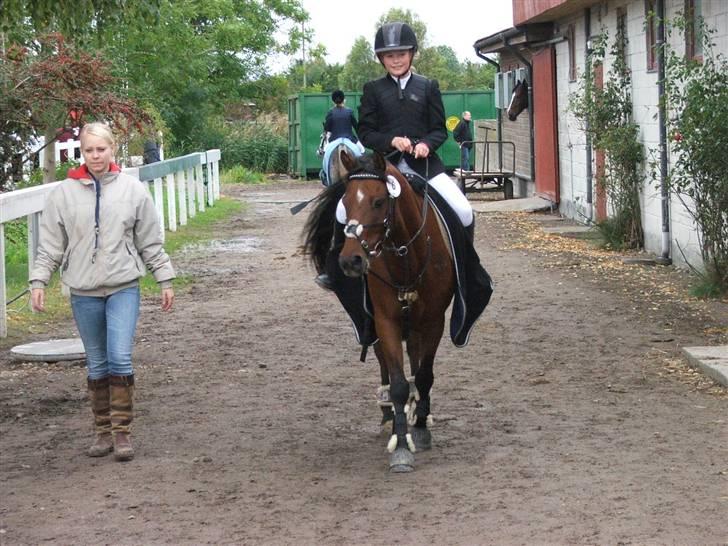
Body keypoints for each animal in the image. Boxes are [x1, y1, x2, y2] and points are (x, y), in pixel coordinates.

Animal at [336, 148, 456, 468]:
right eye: (344, 202)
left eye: (378, 202)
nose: (350, 261)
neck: (406, 257)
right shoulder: (386, 320)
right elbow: (399, 383)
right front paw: (401, 445)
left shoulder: (434, 321)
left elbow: (424, 376)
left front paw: (421, 430)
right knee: (386, 368)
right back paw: (388, 414)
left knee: (416, 360)